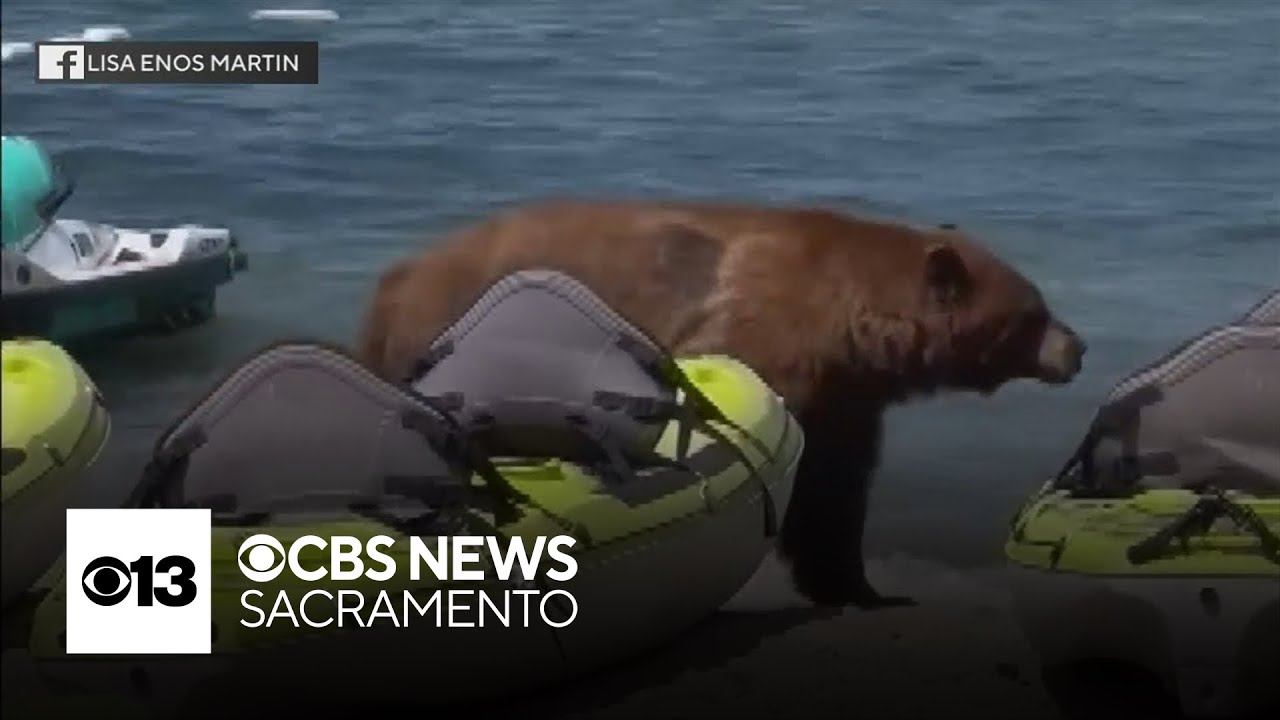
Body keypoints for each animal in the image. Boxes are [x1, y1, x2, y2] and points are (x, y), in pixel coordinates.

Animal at [357, 199, 1086, 607]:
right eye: (1032, 313)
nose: (1076, 347)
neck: (845, 324)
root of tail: (393, 280)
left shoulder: (845, 400)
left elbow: (835, 493)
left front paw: (863, 589)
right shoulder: (757, 340)